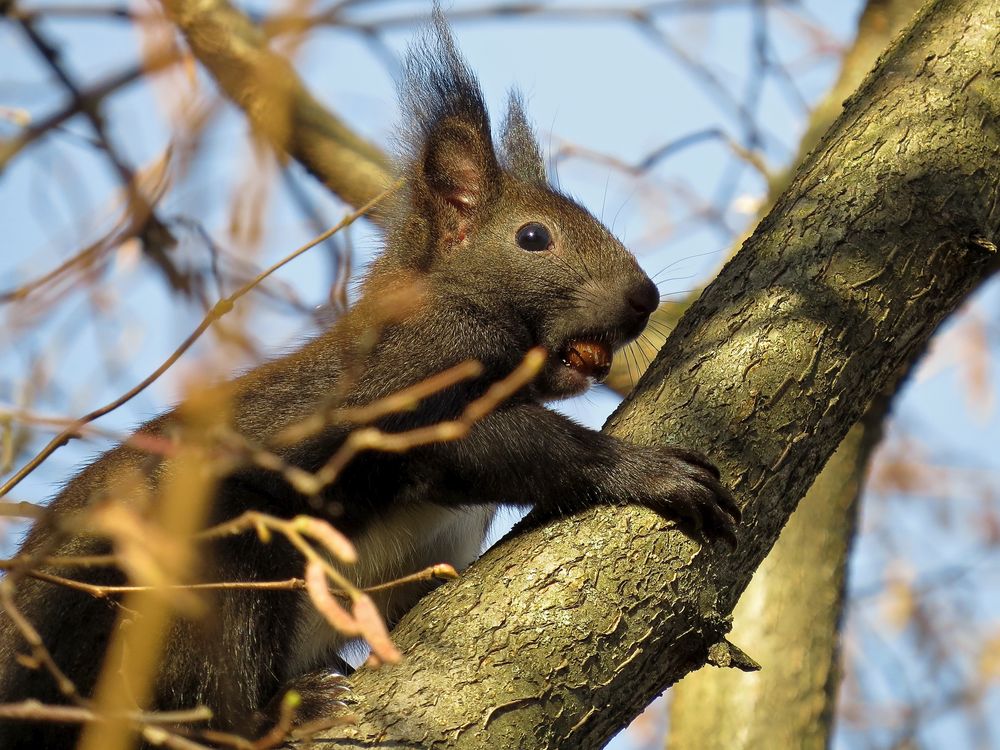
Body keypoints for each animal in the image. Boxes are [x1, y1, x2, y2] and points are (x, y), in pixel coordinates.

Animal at [0, 7, 736, 750]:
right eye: (534, 238)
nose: (644, 298)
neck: (448, 304)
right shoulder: (406, 389)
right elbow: (503, 446)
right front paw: (649, 471)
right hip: (209, 566)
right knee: (215, 696)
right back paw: (281, 714)